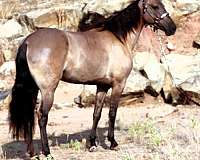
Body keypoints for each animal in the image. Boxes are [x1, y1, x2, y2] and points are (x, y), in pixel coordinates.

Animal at [8, 0, 176, 159]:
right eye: (155, 6)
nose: (172, 28)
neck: (119, 39)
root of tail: (28, 41)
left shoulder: (102, 86)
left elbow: (97, 114)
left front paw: (92, 144)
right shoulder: (118, 85)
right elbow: (112, 113)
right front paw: (113, 143)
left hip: (33, 88)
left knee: (29, 115)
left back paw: (32, 153)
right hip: (48, 90)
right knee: (42, 117)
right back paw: (47, 152)